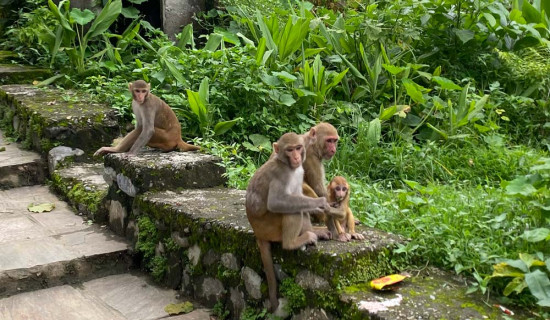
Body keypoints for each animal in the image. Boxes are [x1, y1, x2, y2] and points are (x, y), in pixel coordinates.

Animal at [247, 132, 332, 312]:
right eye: (289, 150)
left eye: (298, 148)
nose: (296, 157)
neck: (288, 166)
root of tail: (257, 232)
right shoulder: (281, 175)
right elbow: (276, 202)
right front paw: (320, 203)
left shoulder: (300, 171)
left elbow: (299, 195)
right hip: (269, 227)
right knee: (292, 210)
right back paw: (292, 243)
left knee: (299, 205)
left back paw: (312, 233)